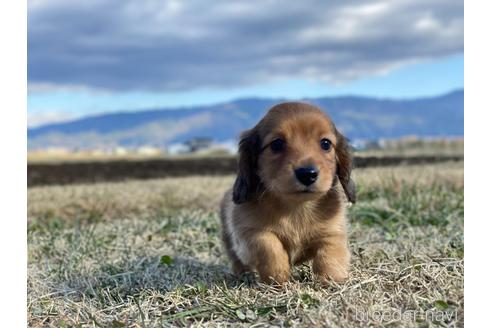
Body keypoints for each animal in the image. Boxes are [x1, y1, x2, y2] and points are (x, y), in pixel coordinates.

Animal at [219, 102, 354, 284]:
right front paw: (278, 276)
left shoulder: (334, 230)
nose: (307, 174)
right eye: (277, 144)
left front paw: (330, 279)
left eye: (326, 144)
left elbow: (329, 253)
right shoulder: (249, 232)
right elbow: (269, 245)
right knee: (237, 261)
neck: (296, 208)